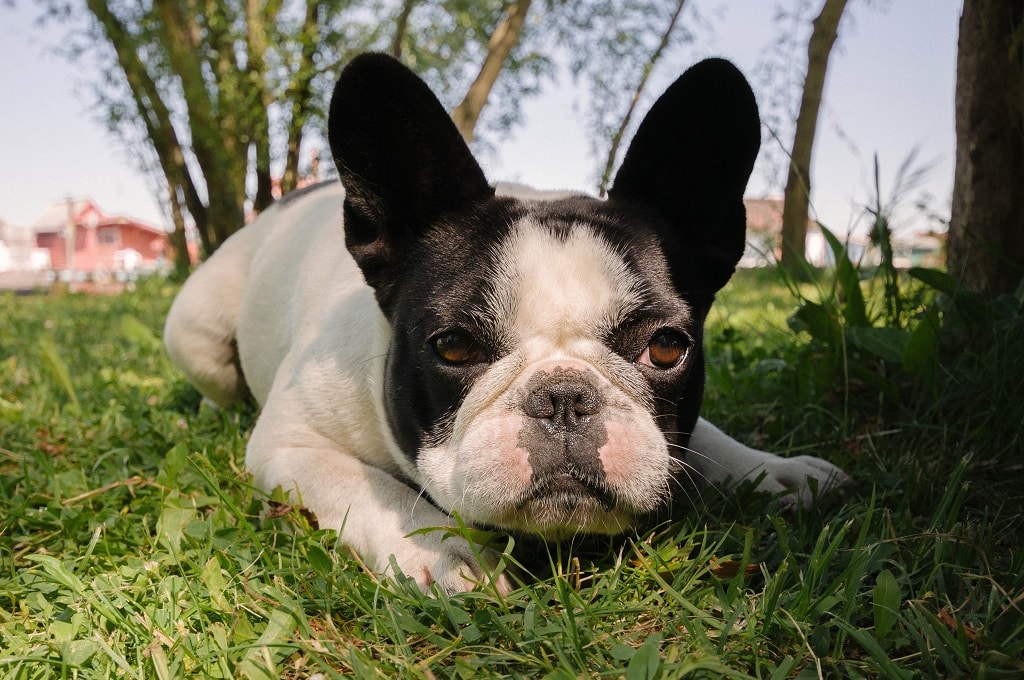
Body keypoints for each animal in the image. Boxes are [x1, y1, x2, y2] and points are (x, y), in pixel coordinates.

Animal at [161, 54, 847, 593]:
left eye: (666, 348)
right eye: (453, 347)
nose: (564, 398)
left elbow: (701, 437)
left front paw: (772, 471)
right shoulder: (292, 443)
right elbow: (369, 485)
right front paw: (440, 546)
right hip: (195, 334)